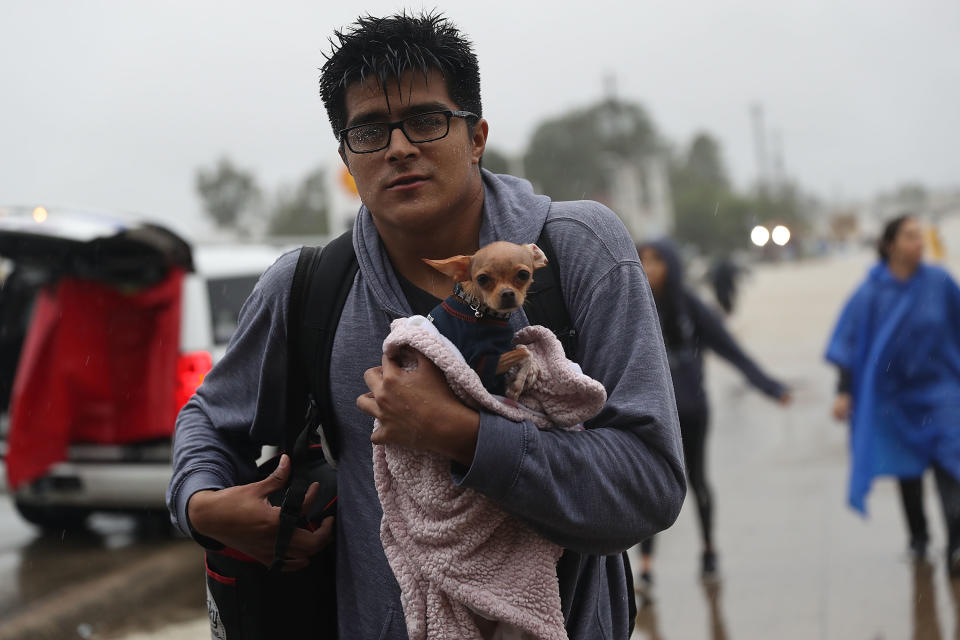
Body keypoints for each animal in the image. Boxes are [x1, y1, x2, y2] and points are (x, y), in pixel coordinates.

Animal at [422, 242, 548, 398]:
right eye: (482, 279)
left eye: (523, 274)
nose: (507, 293)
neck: (477, 307)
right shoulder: (480, 365)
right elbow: (525, 353)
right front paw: (516, 385)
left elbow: (522, 348)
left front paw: (531, 370)